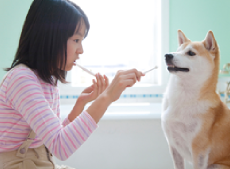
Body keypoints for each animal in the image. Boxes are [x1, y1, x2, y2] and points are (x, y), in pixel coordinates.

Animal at [162, 30, 230, 169]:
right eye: (178, 50)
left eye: (191, 53)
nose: (167, 55)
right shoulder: (173, 146)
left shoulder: (199, 150)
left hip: (216, 165)